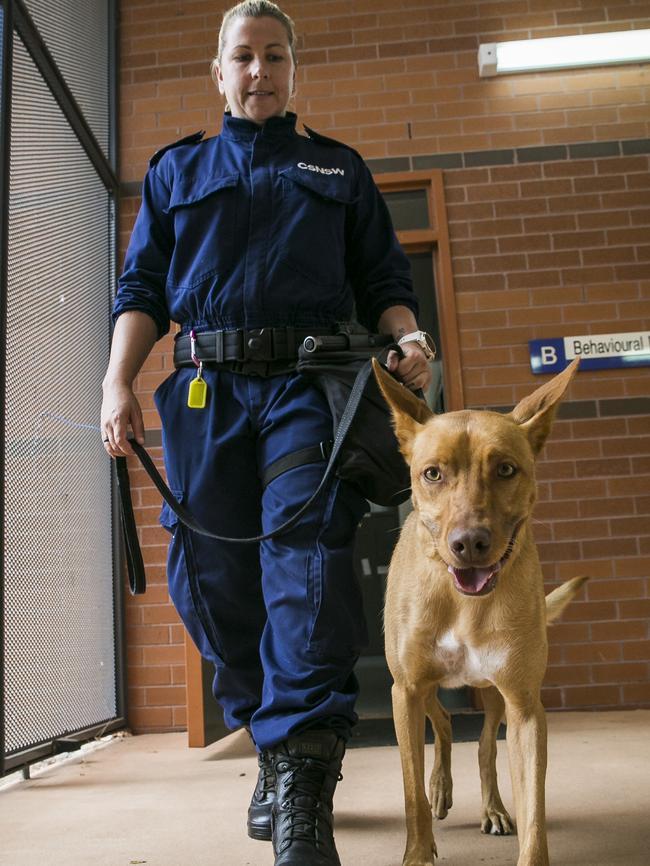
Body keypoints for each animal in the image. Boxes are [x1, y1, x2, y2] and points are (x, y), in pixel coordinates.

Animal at [370, 354, 588, 860]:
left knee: (485, 745)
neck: (463, 604)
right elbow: (411, 793)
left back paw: (492, 808)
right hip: (425, 686)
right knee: (445, 722)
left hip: (490, 694)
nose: (469, 544)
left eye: (506, 470)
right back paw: (440, 789)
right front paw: (418, 850)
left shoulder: (524, 704)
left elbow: (534, 811)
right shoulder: (404, 690)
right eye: (432, 473)